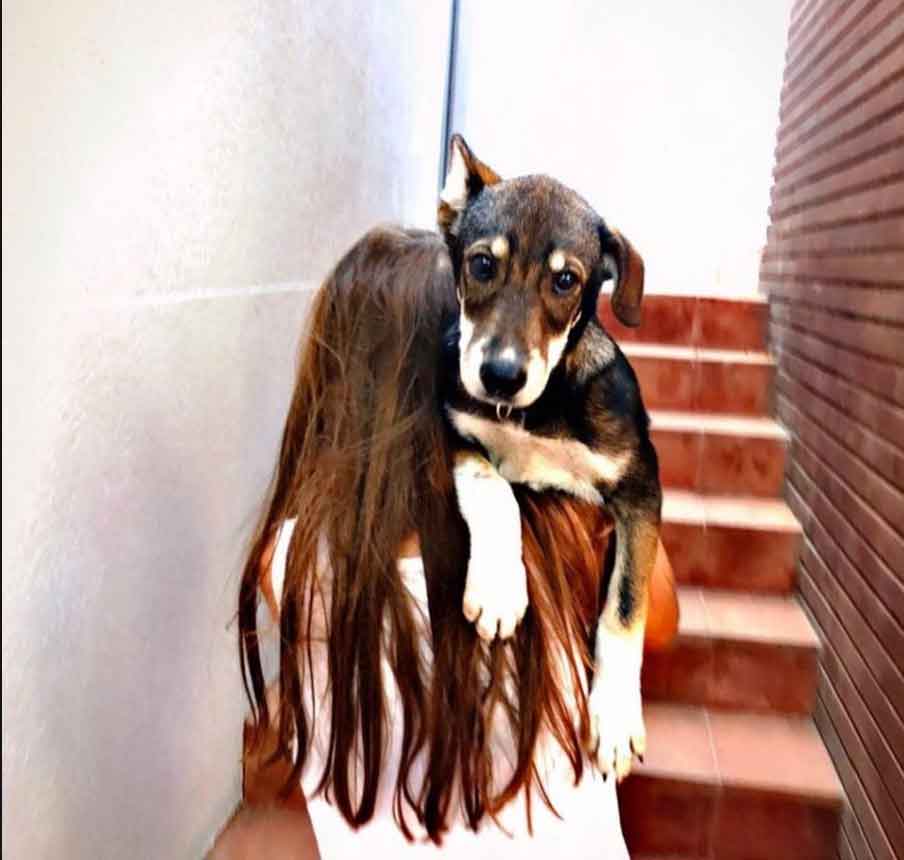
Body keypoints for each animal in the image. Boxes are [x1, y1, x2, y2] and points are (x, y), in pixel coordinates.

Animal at [438, 135, 662, 782]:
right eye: (482, 264)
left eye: (565, 280)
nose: (500, 376)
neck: (538, 409)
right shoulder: (457, 428)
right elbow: (495, 490)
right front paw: (498, 588)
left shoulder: (641, 486)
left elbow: (625, 605)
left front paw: (615, 719)